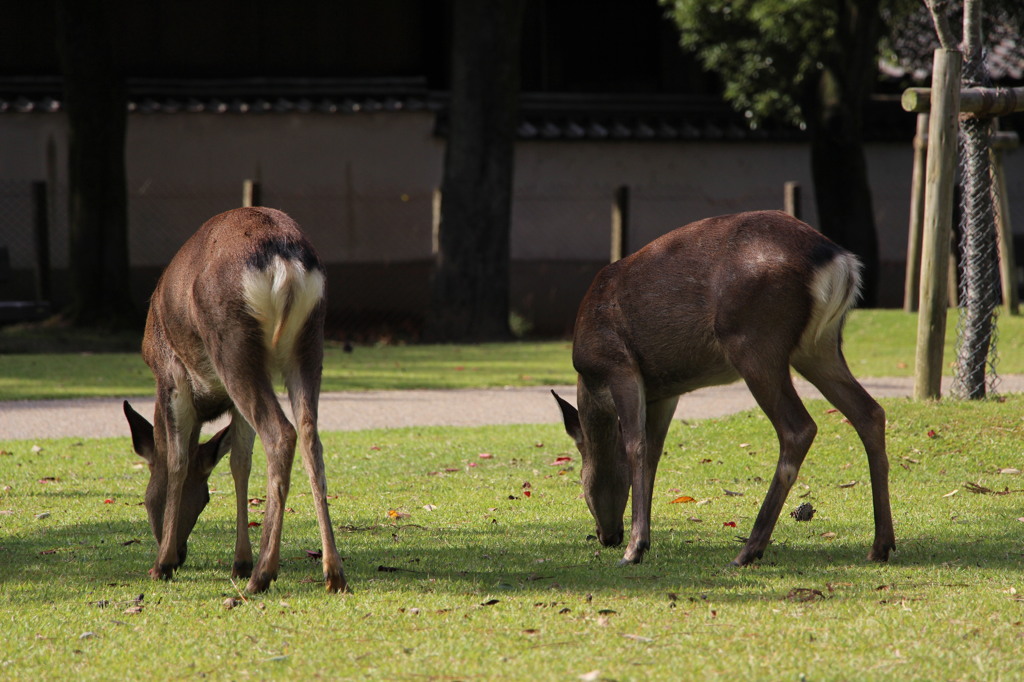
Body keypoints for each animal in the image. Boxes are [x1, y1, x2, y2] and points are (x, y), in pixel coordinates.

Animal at [122, 205, 348, 589]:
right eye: (205, 498)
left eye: (148, 497)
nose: (181, 553)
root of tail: (284, 260)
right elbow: (239, 463)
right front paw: (239, 561)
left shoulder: (171, 373)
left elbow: (178, 460)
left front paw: (161, 564)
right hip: (309, 339)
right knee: (310, 436)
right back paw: (333, 573)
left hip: (233, 344)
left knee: (281, 433)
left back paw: (263, 575)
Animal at [552, 209, 897, 565]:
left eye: (581, 480)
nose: (608, 537)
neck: (591, 379)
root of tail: (841, 261)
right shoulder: (664, 391)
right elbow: (654, 454)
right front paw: (643, 540)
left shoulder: (620, 366)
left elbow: (636, 447)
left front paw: (635, 548)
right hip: (820, 345)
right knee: (870, 412)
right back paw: (880, 545)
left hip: (755, 340)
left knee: (799, 427)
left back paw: (749, 549)